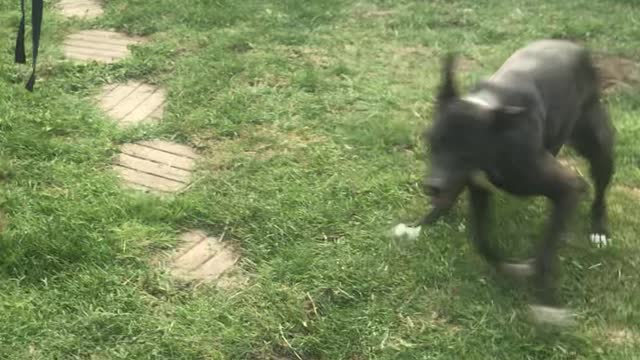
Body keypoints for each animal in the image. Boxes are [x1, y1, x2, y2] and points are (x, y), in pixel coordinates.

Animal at [398, 40, 612, 326]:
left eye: (467, 150)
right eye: (432, 141)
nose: (432, 186)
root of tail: (576, 46)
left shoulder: (567, 187)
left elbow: (544, 255)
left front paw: (547, 303)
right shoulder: (478, 188)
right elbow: (481, 240)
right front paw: (503, 265)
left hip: (599, 147)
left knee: (600, 189)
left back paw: (599, 228)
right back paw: (424, 221)